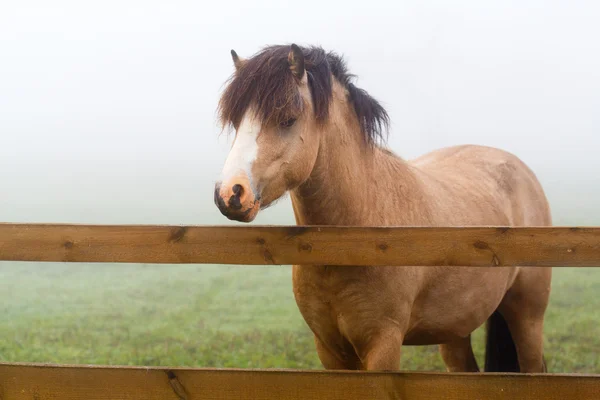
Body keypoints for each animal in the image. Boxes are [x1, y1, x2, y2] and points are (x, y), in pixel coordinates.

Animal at [212, 43, 552, 372]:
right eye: (237, 121)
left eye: (287, 119)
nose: (230, 193)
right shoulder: (330, 351)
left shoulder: (383, 344)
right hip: (455, 329)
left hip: (527, 318)